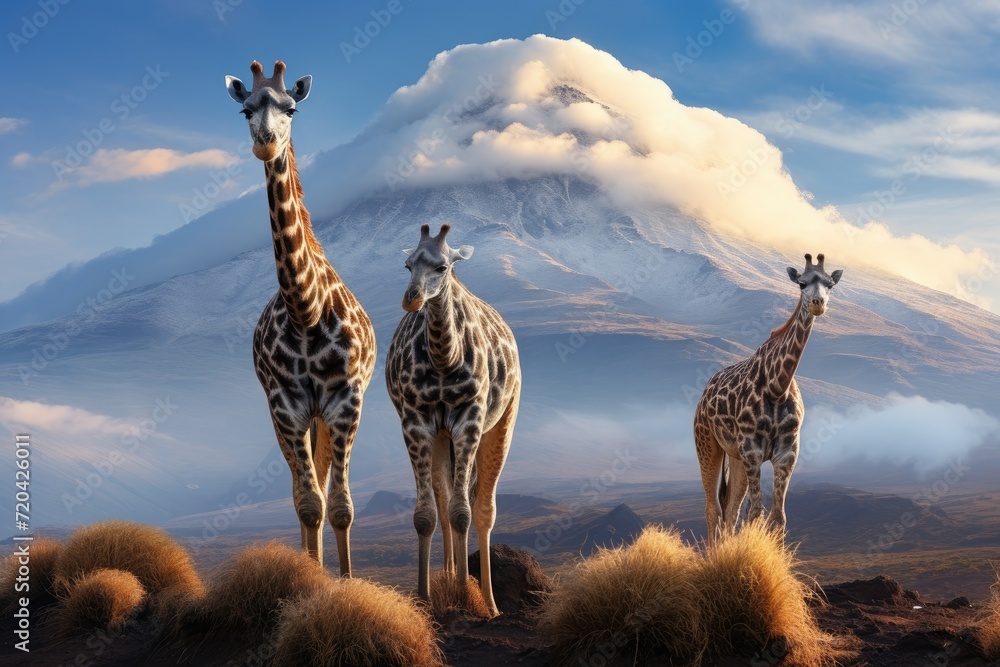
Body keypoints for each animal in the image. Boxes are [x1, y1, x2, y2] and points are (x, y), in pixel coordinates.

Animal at [225, 61, 376, 574]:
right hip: (294, 418)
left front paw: (346, 583)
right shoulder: (284, 405)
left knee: (328, 485)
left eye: (291, 108)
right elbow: (308, 503)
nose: (265, 140)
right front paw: (313, 580)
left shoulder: (345, 401)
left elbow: (341, 506)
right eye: (245, 109)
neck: (305, 308)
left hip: (326, 417)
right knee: (302, 491)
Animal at [385, 224, 521, 617]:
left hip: (502, 422)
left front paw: (463, 595)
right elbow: (427, 515)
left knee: (483, 508)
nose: (411, 299)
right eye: (407, 265)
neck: (445, 359)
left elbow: (464, 512)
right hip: (440, 438)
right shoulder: (415, 423)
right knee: (445, 506)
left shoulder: (470, 420)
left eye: (442, 267)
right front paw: (424, 597)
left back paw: (489, 603)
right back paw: (448, 575)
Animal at [693, 253, 843, 546]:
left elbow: (778, 517)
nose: (818, 304)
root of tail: (703, 397)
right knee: (712, 508)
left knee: (730, 509)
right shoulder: (752, 450)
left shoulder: (787, 452)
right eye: (801, 283)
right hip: (707, 444)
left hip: (735, 456)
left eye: (830, 285)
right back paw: (713, 552)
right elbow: (755, 512)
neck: (777, 385)